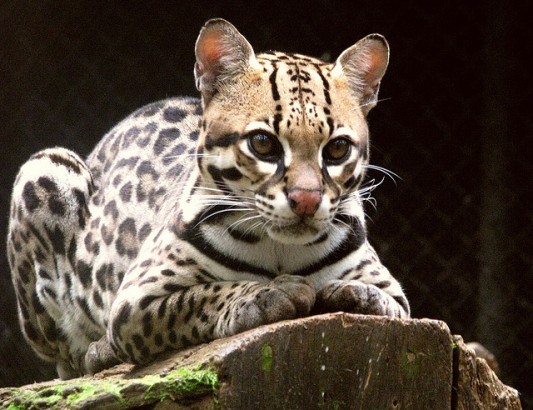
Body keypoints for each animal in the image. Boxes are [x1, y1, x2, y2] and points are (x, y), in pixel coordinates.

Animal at [7, 18, 408, 378]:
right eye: (263, 143)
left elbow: (377, 299)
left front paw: (348, 292)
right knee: (69, 359)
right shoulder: (135, 300)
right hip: (46, 167)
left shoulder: (396, 298)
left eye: (338, 149)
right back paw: (99, 351)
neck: (280, 251)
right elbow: (198, 298)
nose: (306, 200)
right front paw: (267, 294)